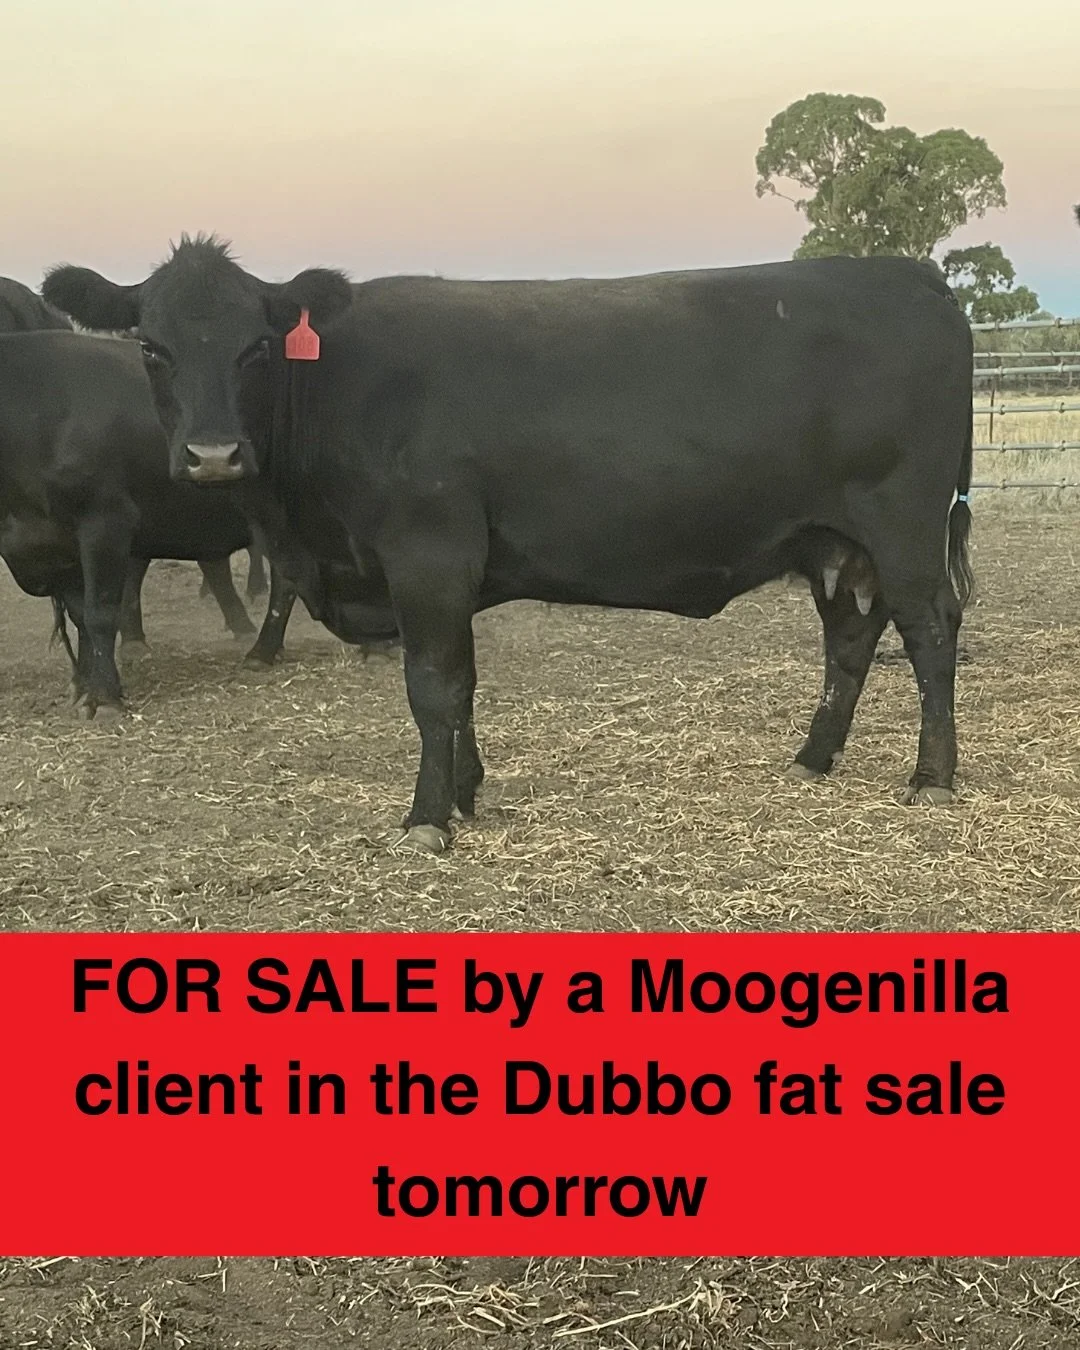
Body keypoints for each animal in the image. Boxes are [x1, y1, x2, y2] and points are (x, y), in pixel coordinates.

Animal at [43, 237, 973, 848]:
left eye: (257, 346)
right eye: (151, 347)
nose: (211, 454)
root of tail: (907, 273)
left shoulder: (427, 555)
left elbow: (433, 687)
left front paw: (426, 819)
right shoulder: (446, 574)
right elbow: (463, 686)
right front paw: (465, 792)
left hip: (905, 524)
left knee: (930, 634)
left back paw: (932, 778)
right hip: (834, 541)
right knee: (850, 637)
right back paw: (813, 758)